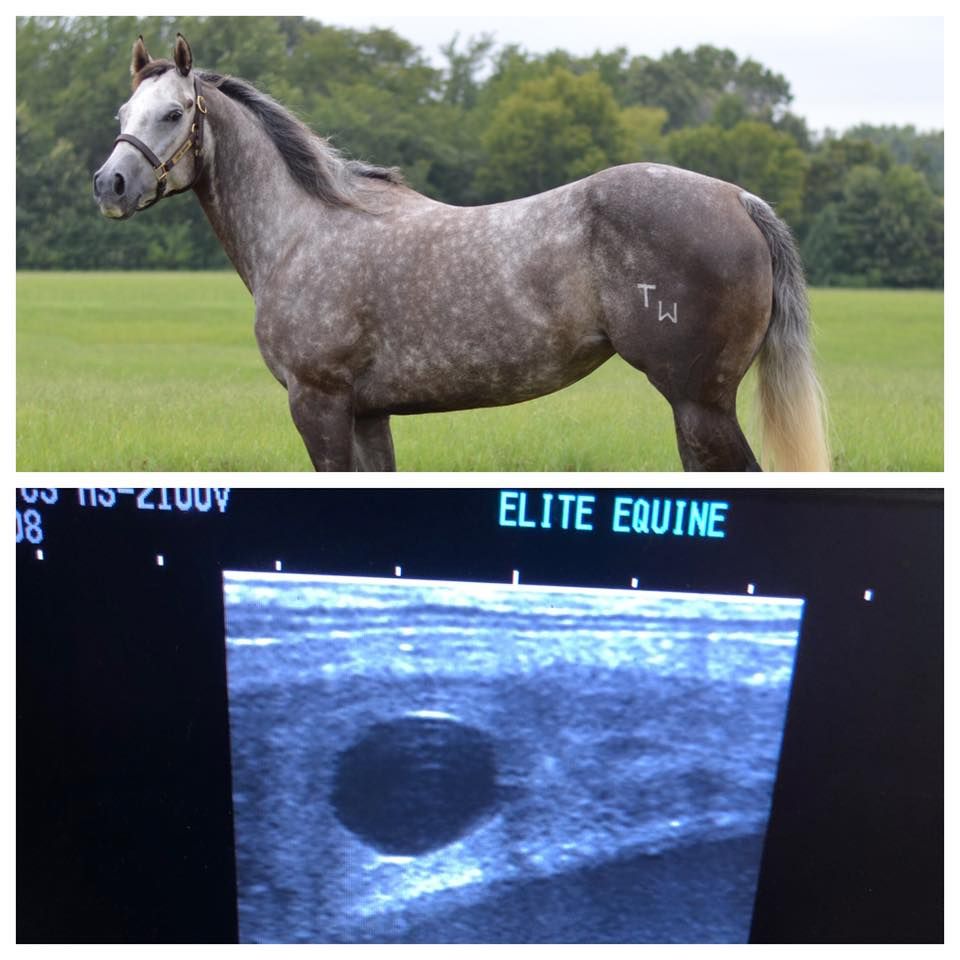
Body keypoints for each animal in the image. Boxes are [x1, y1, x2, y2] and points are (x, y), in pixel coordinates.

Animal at [93, 34, 830, 471]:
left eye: (173, 114)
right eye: (123, 116)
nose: (110, 184)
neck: (304, 230)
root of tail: (739, 199)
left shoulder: (318, 403)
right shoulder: (368, 414)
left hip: (698, 405)